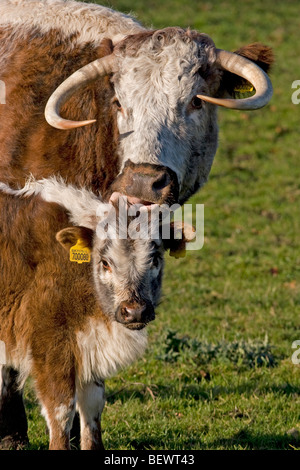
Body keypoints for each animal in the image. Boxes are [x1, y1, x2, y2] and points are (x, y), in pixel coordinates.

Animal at [0, 178, 195, 450]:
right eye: (105, 262)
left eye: (155, 259)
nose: (135, 311)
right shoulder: (49, 346)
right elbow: (61, 409)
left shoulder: (89, 344)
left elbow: (92, 405)